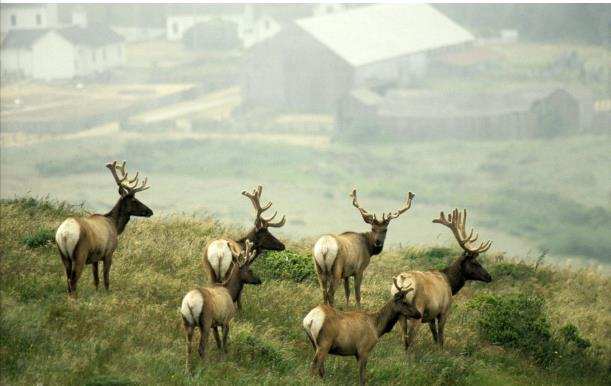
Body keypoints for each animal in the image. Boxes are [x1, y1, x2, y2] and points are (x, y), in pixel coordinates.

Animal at [54, 161, 152, 298]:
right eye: (134, 200)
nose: (150, 211)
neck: (114, 225)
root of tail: (64, 234)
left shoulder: (95, 258)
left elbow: (96, 280)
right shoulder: (108, 253)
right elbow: (106, 279)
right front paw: (107, 294)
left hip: (63, 256)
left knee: (68, 280)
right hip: (79, 254)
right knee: (73, 281)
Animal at [179, 241, 260, 370]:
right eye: (250, 270)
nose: (259, 280)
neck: (230, 292)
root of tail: (190, 303)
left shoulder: (214, 324)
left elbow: (217, 341)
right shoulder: (226, 320)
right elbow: (224, 342)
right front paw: (223, 358)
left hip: (187, 322)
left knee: (188, 347)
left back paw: (188, 369)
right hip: (205, 321)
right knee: (201, 348)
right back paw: (205, 367)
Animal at [392, 210, 492, 352]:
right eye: (474, 262)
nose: (489, 276)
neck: (450, 282)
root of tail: (402, 282)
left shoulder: (431, 316)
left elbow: (434, 335)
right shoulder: (444, 310)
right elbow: (441, 337)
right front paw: (440, 352)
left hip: (401, 313)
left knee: (404, 337)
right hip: (416, 312)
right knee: (410, 338)